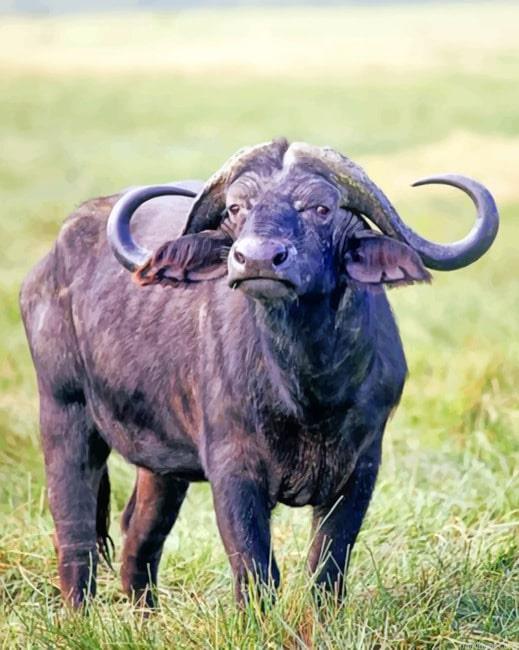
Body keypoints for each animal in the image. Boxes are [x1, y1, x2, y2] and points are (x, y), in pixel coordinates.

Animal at [20, 139, 498, 607]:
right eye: (236, 207)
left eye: (321, 207)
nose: (256, 259)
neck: (308, 392)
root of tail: (47, 266)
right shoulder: (233, 467)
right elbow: (255, 568)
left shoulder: (362, 466)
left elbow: (329, 564)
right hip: (63, 409)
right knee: (74, 525)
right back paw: (80, 614)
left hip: (161, 464)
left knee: (140, 531)